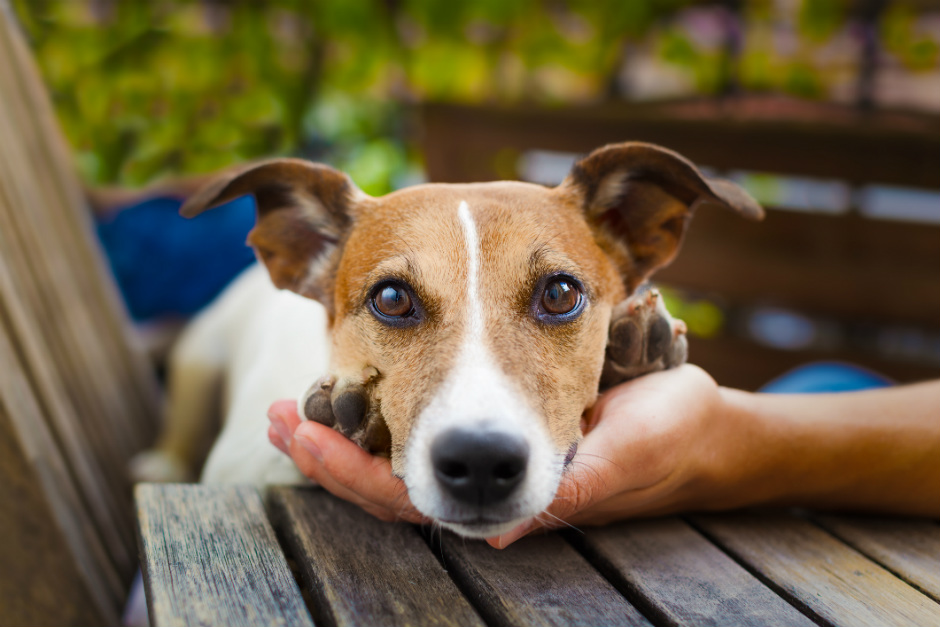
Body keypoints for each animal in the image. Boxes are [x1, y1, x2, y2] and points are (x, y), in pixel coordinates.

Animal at [132, 144, 764, 540]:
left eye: (561, 292)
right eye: (391, 298)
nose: (481, 461)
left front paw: (634, 352)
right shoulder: (238, 459)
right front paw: (348, 419)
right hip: (201, 359)